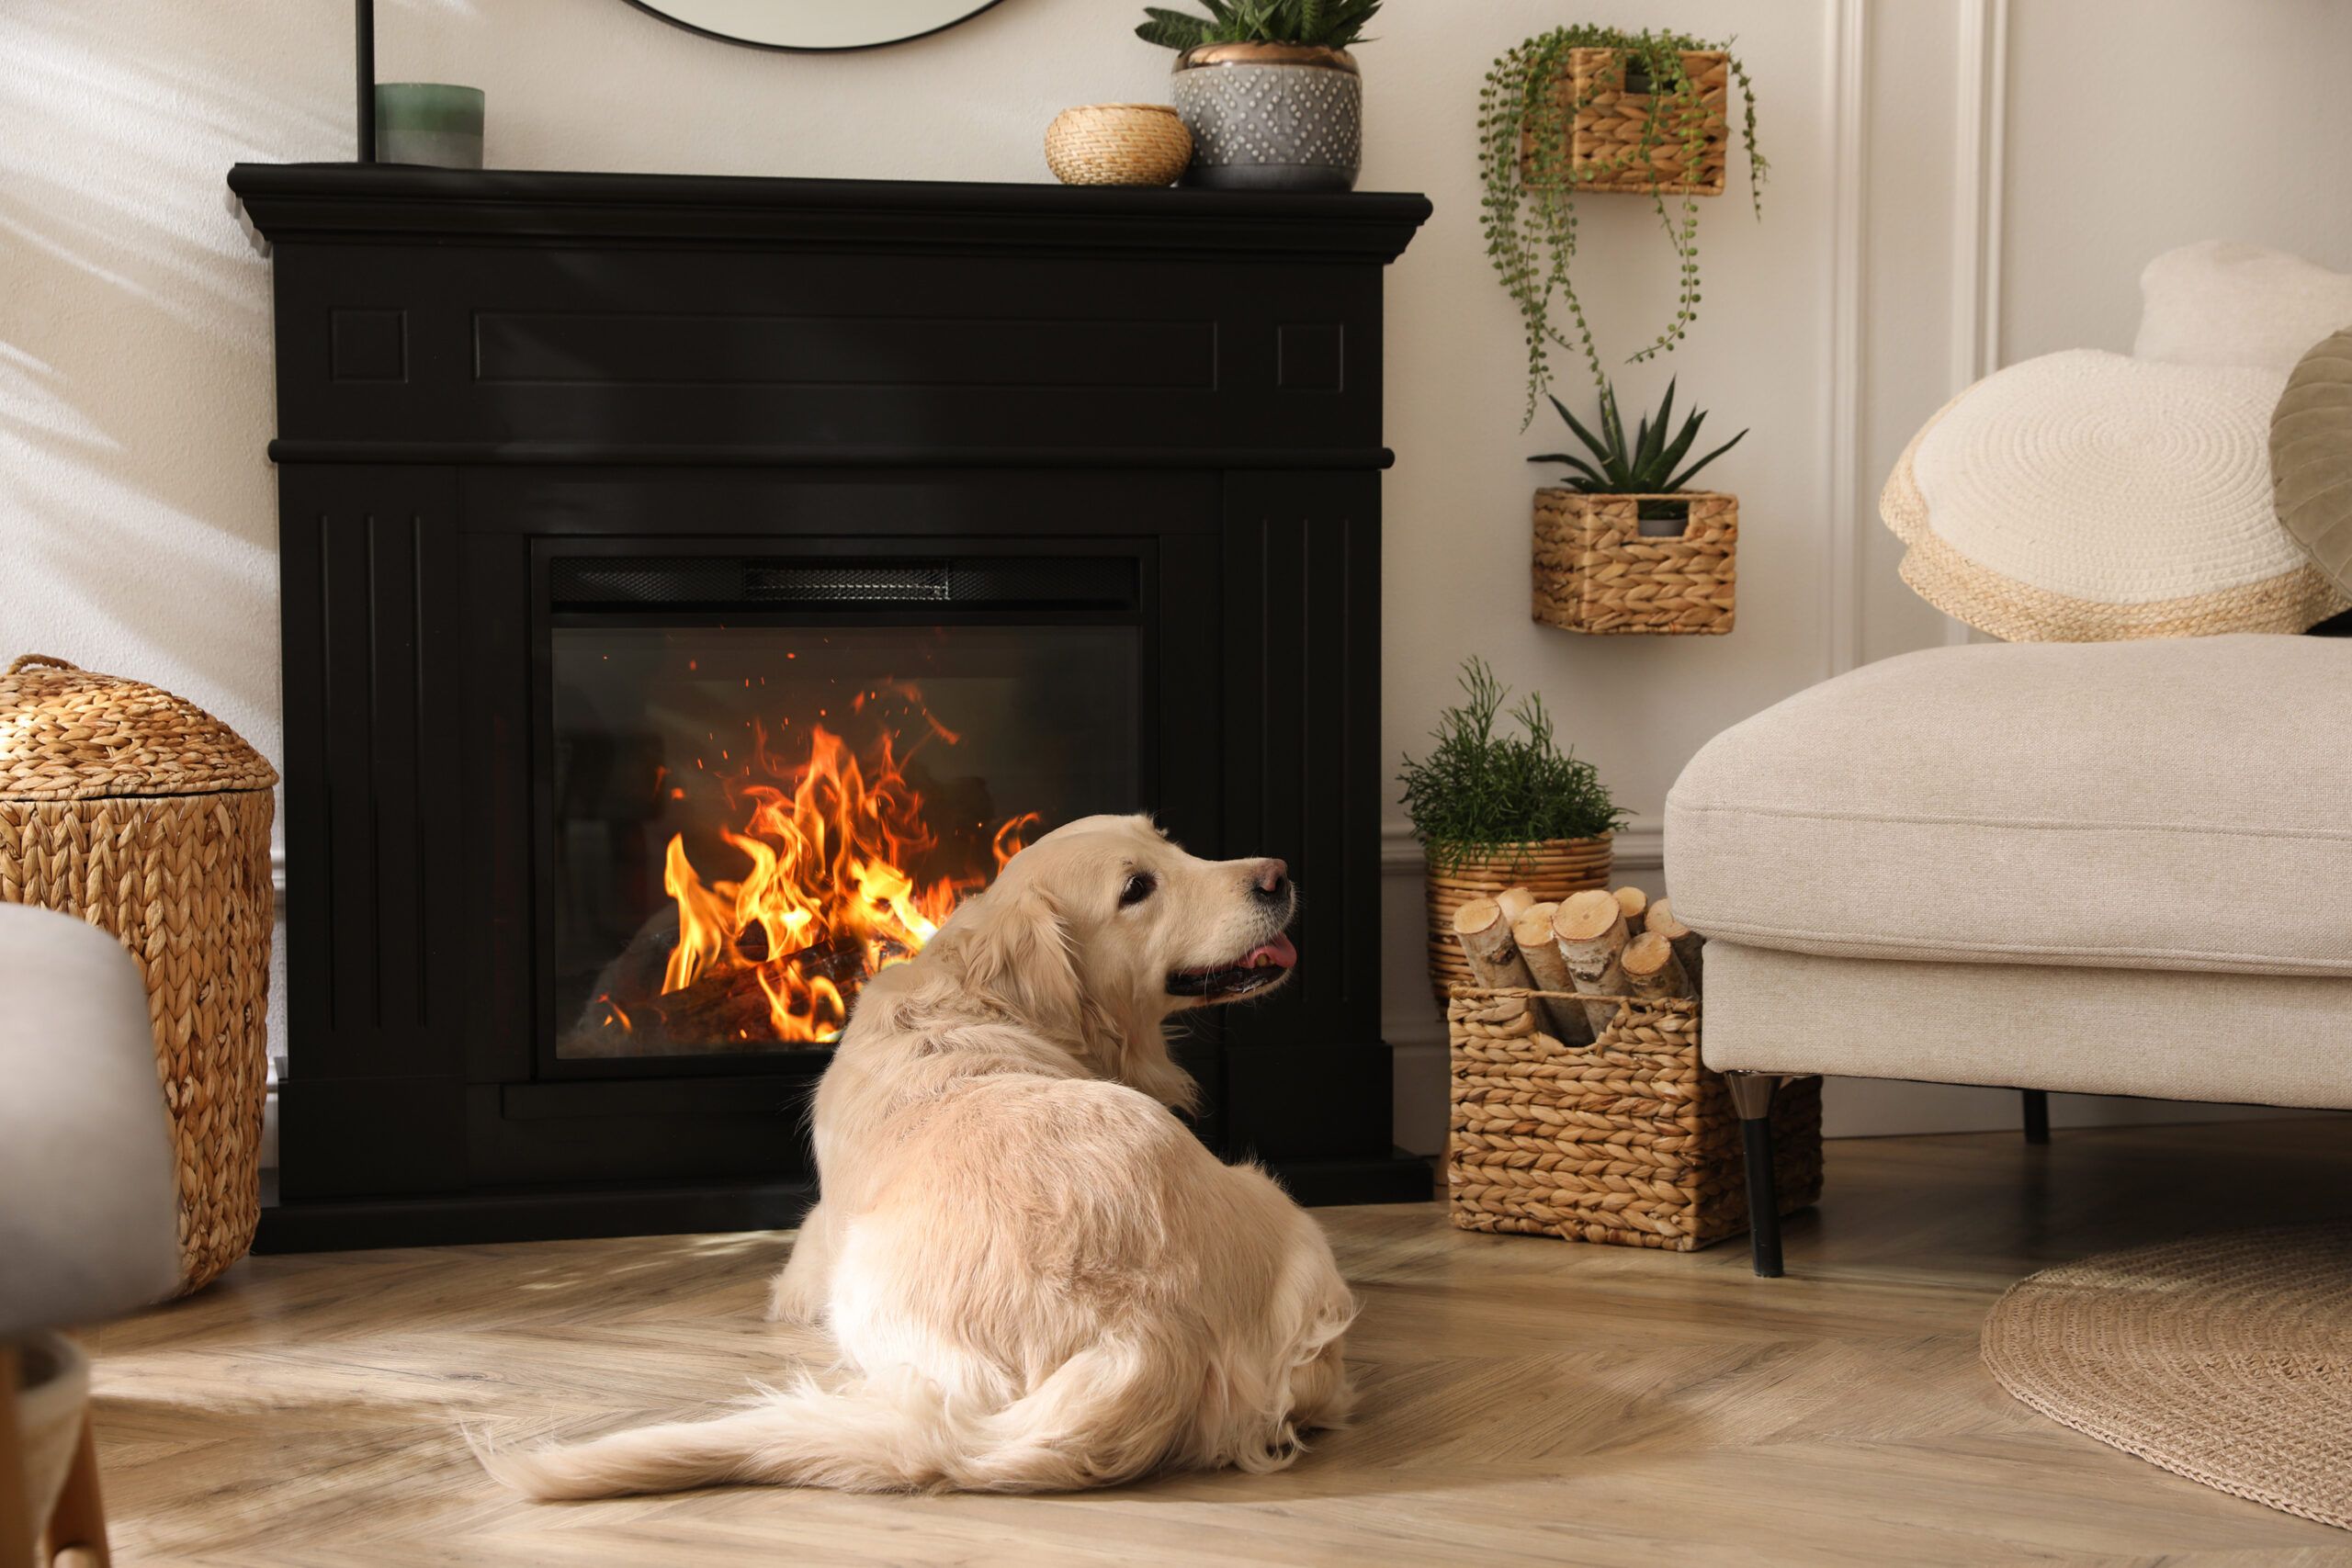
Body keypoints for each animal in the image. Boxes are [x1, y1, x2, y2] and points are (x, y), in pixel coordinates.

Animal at [486, 822, 1354, 1495]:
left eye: (1170, 841)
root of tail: (1147, 1331)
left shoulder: (805, 1263)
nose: (1278, 874)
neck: (985, 997)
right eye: (1138, 885)